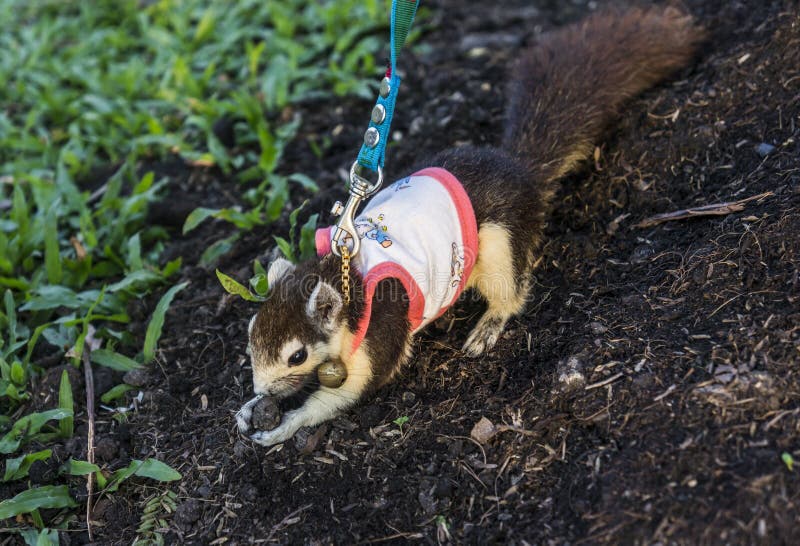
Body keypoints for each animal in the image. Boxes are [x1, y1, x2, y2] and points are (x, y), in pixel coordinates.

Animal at [236, 6, 704, 446]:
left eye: (297, 357)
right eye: (251, 333)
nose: (264, 389)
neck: (346, 274)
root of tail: (522, 172)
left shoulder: (381, 330)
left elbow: (350, 391)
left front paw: (282, 425)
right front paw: (252, 407)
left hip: (498, 244)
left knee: (512, 291)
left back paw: (489, 325)